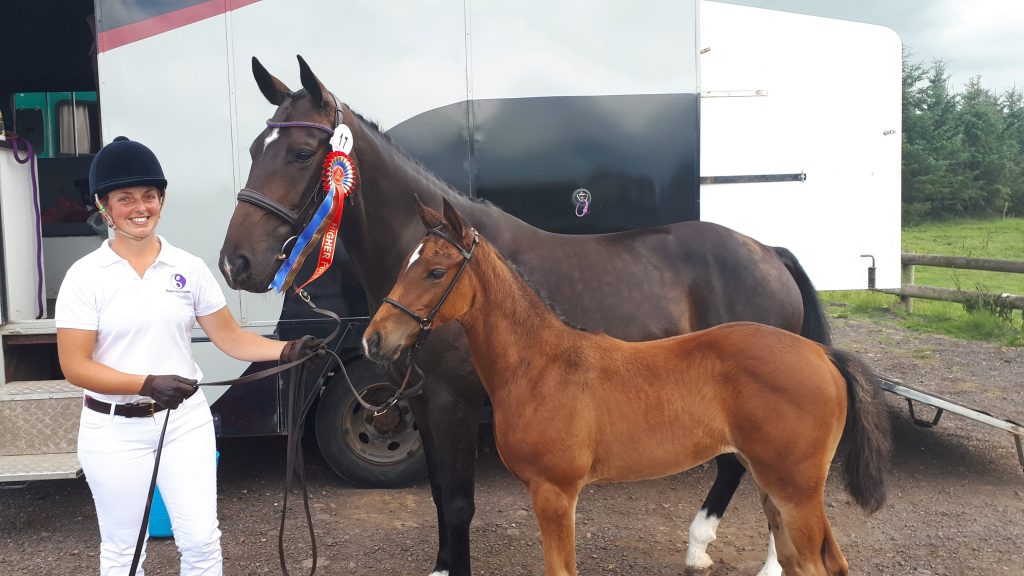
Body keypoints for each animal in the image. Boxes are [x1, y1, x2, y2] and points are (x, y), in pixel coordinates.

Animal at [220, 54, 835, 573]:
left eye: (302, 153)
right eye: (252, 150)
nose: (236, 262)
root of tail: (768, 252)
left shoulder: (454, 402)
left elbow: (459, 501)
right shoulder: (418, 399)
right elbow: (439, 493)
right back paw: (702, 547)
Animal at [364, 196, 892, 573]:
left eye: (436, 271)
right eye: (404, 262)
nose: (374, 338)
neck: (539, 363)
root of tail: (822, 355)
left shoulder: (554, 492)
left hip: (795, 491)